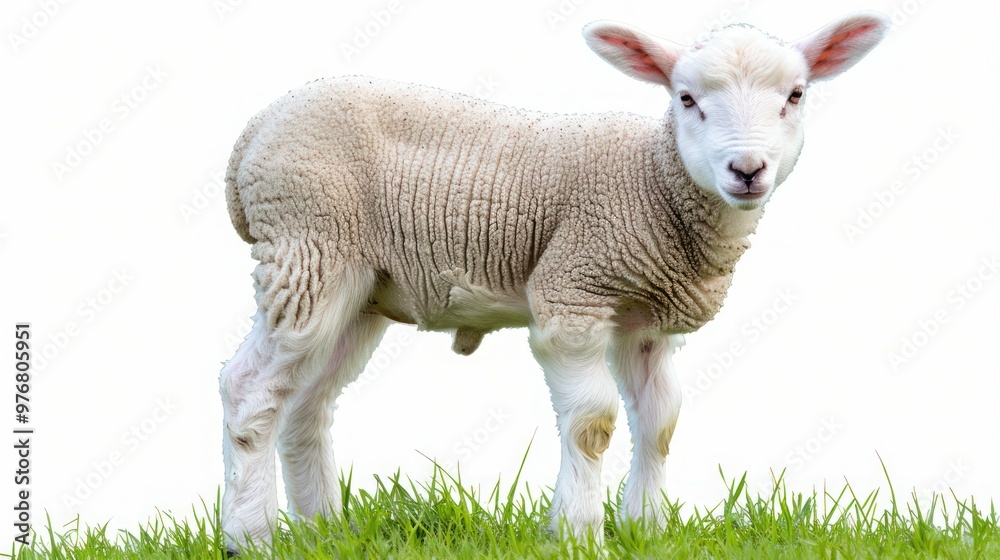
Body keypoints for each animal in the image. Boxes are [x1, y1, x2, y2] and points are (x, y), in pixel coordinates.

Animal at [219, 11, 889, 551]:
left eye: (795, 95)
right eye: (686, 98)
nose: (747, 170)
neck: (654, 181)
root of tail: (252, 135)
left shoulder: (646, 319)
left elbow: (661, 420)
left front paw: (646, 529)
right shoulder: (574, 289)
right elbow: (593, 422)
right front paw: (578, 533)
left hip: (357, 289)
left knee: (308, 403)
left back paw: (325, 532)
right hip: (308, 246)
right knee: (248, 389)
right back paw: (250, 536)